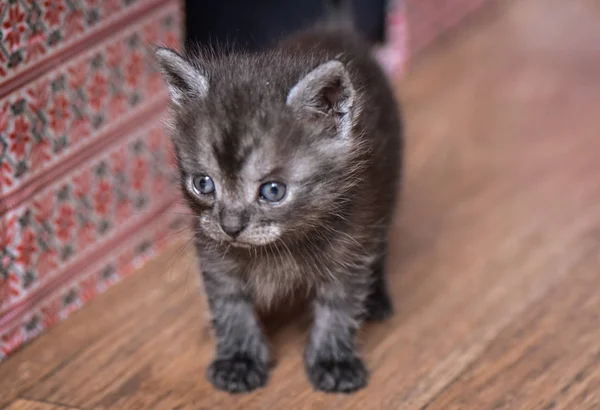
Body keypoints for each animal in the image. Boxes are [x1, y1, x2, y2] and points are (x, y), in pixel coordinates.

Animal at [156, 22, 404, 394]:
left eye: (273, 191)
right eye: (203, 184)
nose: (231, 226)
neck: (278, 247)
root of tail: (335, 27)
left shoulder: (351, 243)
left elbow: (338, 307)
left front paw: (333, 360)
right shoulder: (215, 254)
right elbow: (230, 305)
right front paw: (240, 358)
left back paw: (377, 297)